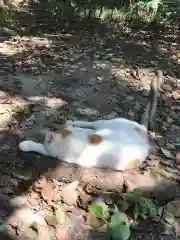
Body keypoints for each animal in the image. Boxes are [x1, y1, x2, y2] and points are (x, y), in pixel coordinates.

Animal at [19, 69, 162, 171]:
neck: (70, 136)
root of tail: (144, 131)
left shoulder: (55, 153)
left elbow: (39, 147)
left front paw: (25, 145)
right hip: (109, 122)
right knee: (92, 123)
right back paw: (75, 121)